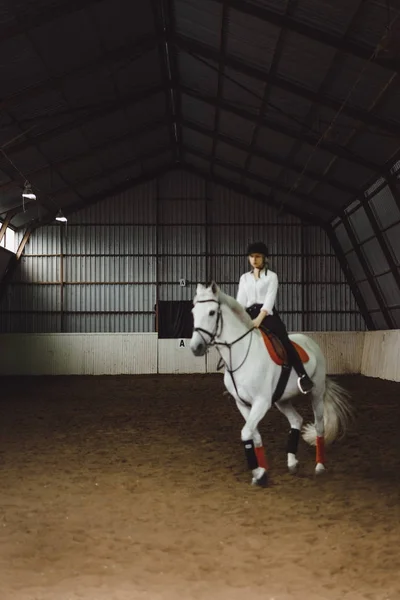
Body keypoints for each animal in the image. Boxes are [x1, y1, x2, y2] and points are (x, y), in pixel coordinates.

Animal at [189, 282, 352, 488]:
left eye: (211, 312)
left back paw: (320, 466)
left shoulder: (261, 403)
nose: (196, 348)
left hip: (316, 393)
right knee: (296, 420)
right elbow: (255, 435)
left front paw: (258, 473)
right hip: (282, 400)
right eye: (193, 312)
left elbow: (246, 433)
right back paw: (292, 462)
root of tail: (310, 342)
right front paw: (262, 471)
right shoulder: (242, 404)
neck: (242, 354)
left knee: (320, 427)